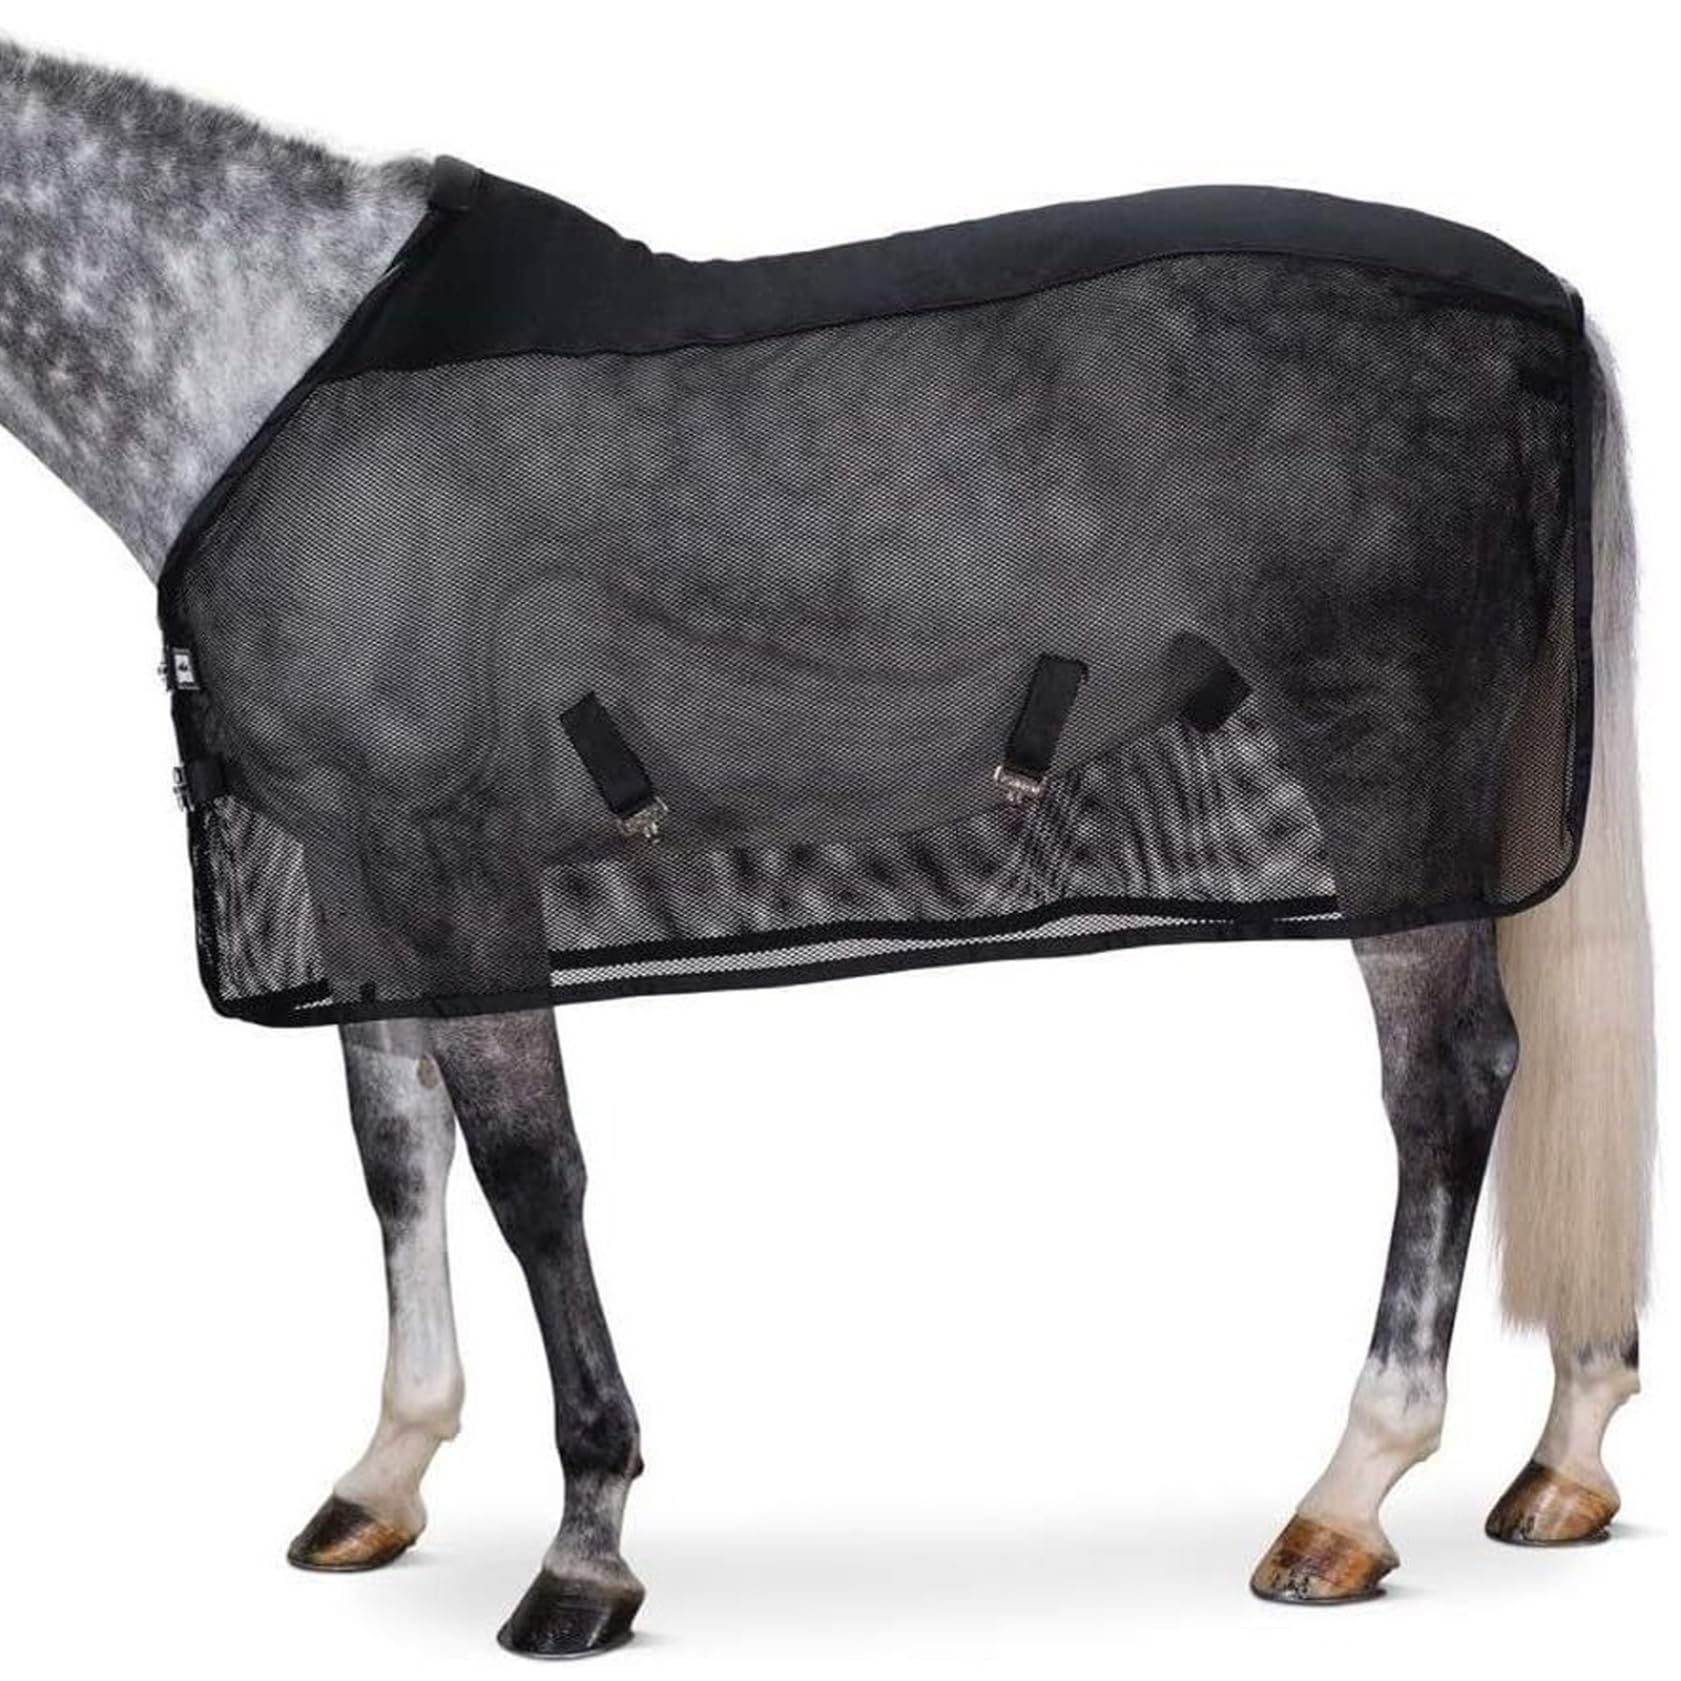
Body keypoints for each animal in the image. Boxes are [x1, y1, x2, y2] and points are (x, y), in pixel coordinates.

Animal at [0, 36, 1653, 1658]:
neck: (263, 358)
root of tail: (1541, 308)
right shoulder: (354, 865)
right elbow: (397, 1151)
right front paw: (384, 1474)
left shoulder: (451, 851)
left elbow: (531, 1169)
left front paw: (586, 1547)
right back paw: (1562, 1459)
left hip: (1384, 755)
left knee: (1447, 1077)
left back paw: (1349, 1494)